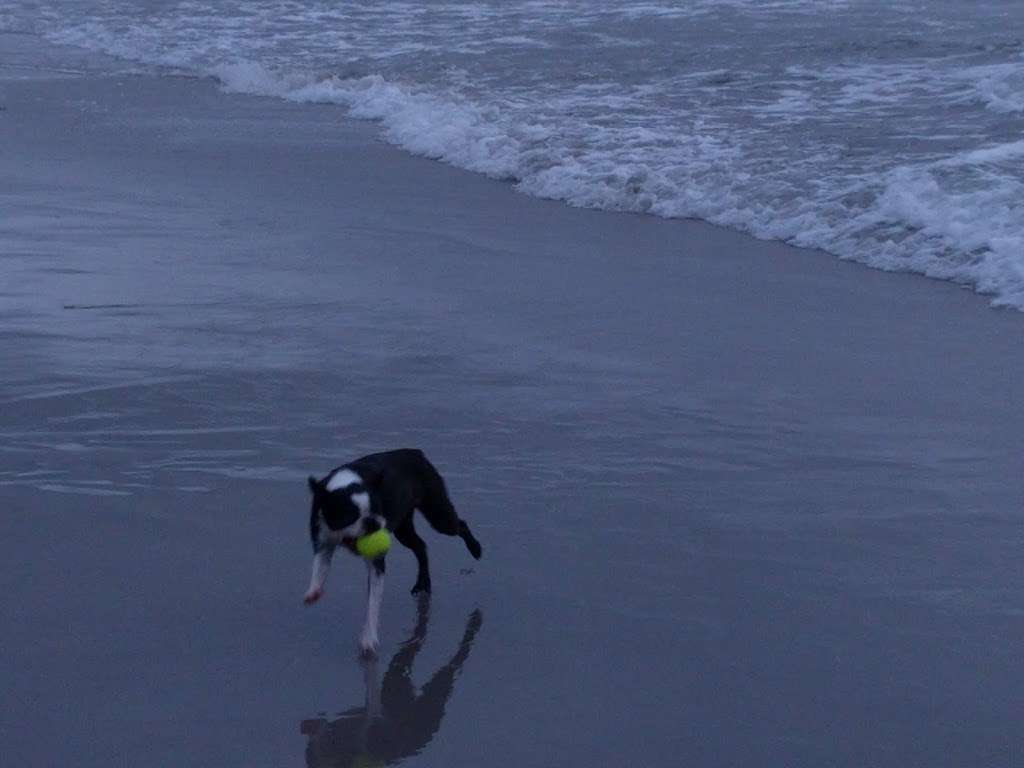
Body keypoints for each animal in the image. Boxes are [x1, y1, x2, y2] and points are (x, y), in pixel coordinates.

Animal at [301, 450, 481, 655]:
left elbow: (373, 602)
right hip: (404, 528)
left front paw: (369, 639)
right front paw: (313, 591)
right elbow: (320, 566)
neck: (346, 483)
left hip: (439, 515)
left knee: (459, 525)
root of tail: (416, 452)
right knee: (420, 546)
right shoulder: (323, 541)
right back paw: (423, 582)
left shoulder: (376, 563)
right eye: (349, 515)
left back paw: (476, 549)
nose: (372, 522)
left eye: (376, 507)